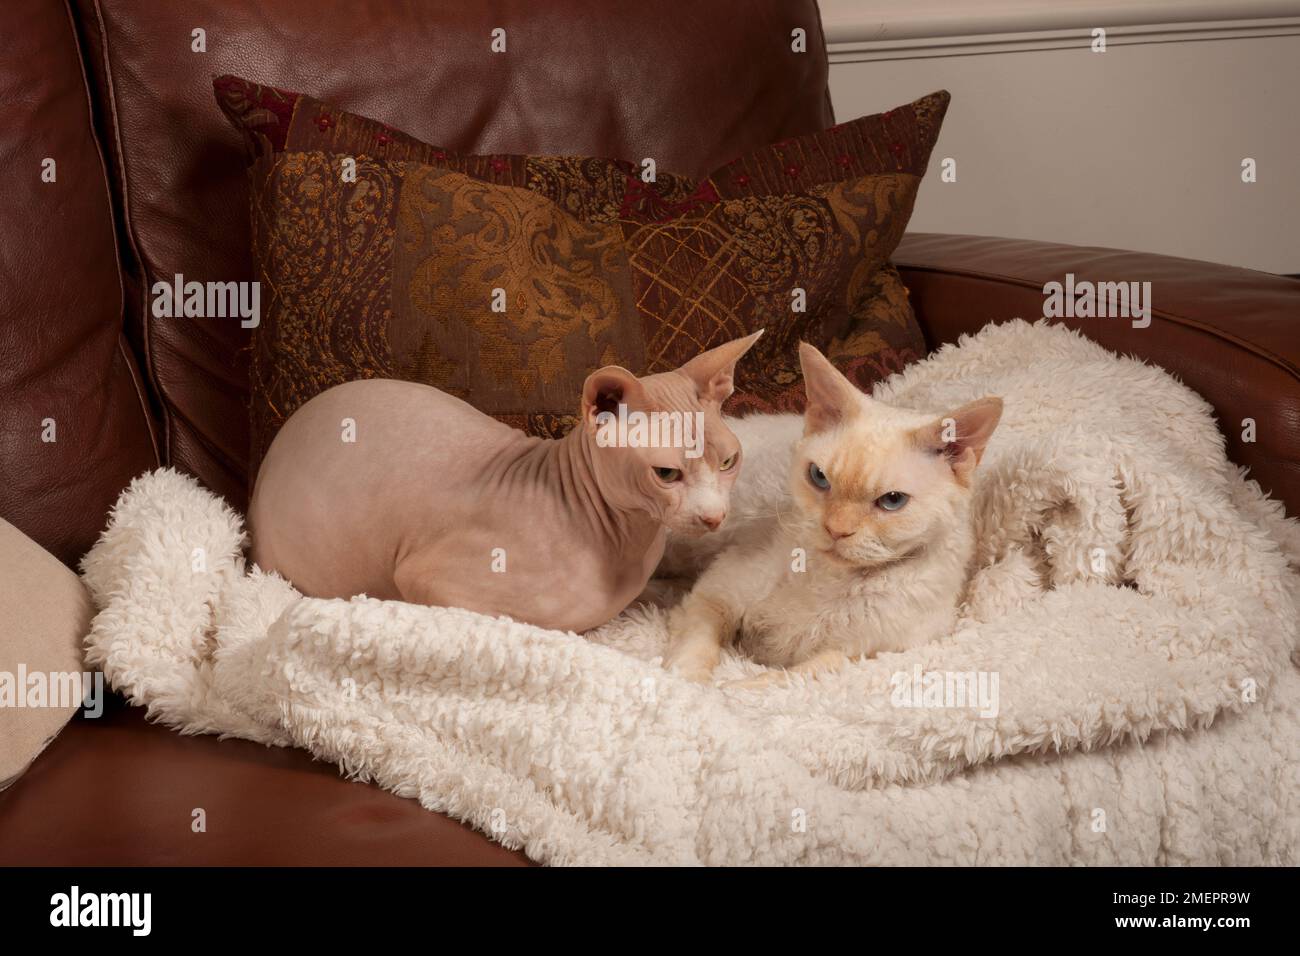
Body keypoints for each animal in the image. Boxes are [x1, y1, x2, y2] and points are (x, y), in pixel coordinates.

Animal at [665, 343, 998, 686]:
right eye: (819, 477)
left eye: (892, 501)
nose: (836, 530)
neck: (835, 579)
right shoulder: (718, 590)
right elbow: (698, 644)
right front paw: (688, 684)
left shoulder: (869, 655)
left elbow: (792, 677)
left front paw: (733, 689)